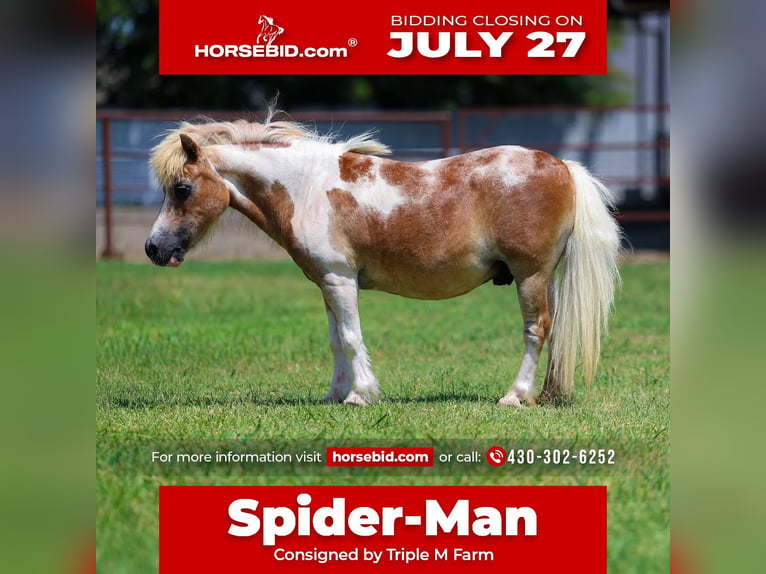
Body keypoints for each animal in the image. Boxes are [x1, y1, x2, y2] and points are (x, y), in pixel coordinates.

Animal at [146, 112, 621, 407]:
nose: (153, 249)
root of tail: (561, 165)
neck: (306, 187)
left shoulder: (340, 280)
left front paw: (360, 395)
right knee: (556, 332)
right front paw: (335, 395)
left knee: (535, 330)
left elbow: (352, 338)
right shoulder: (328, 283)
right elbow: (335, 340)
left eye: (182, 189)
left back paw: (515, 395)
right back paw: (550, 394)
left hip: (530, 275)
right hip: (546, 278)